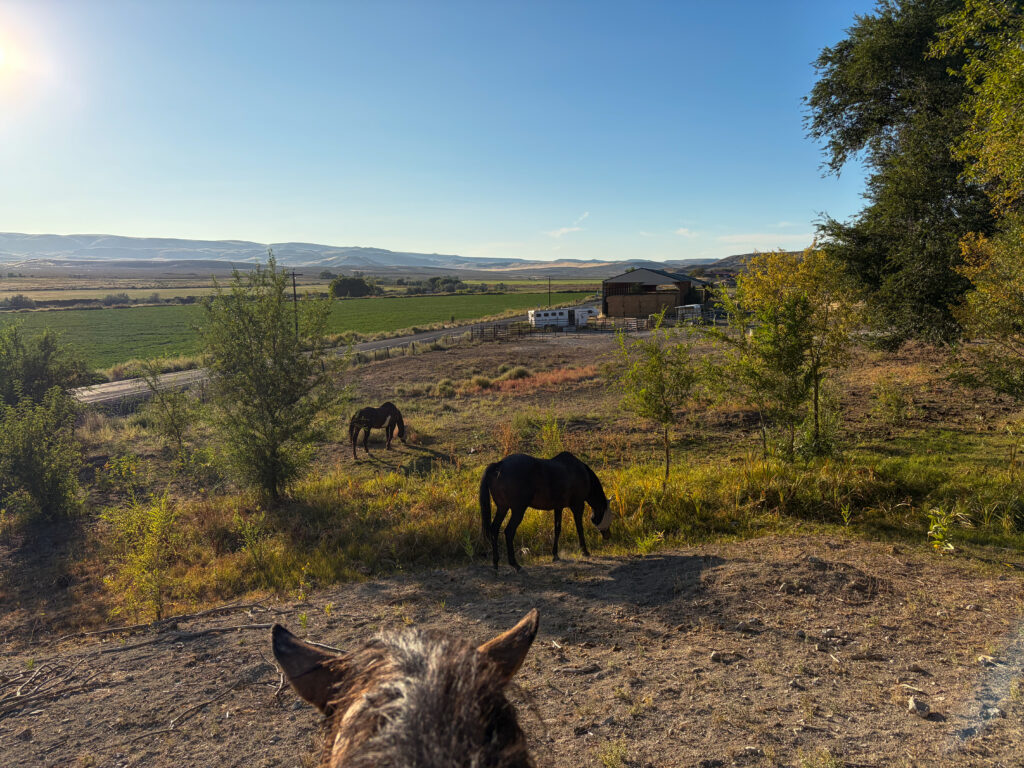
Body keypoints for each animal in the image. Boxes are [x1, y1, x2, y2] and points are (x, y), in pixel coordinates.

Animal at [479, 451, 613, 572]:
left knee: (494, 529)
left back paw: (496, 563)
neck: (580, 472)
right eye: (609, 516)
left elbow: (557, 529)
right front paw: (584, 551)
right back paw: (515, 564)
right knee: (509, 532)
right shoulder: (578, 506)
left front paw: (555, 555)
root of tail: (499, 465)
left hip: (502, 508)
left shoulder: (558, 507)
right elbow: (580, 528)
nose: (608, 536)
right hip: (518, 510)